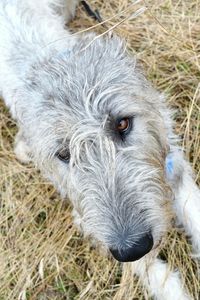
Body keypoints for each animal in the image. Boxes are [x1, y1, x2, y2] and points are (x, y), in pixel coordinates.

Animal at [0, 0, 199, 300]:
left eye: (122, 123)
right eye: (64, 154)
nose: (133, 247)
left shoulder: (171, 163)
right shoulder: (87, 213)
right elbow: (155, 275)